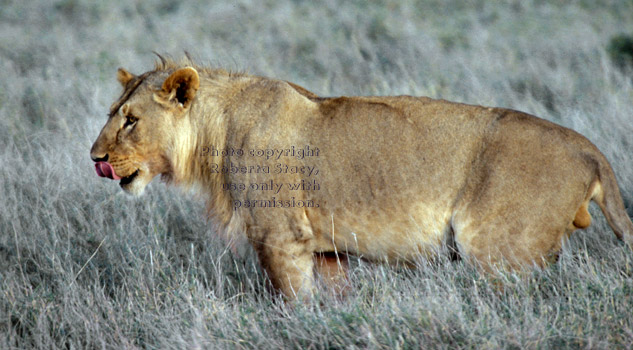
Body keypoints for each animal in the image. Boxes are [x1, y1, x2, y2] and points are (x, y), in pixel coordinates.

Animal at [91, 58, 632, 300]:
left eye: (131, 120)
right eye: (114, 113)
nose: (95, 157)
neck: (214, 133)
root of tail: (590, 148)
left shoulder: (280, 237)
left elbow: (293, 303)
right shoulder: (325, 249)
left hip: (499, 251)